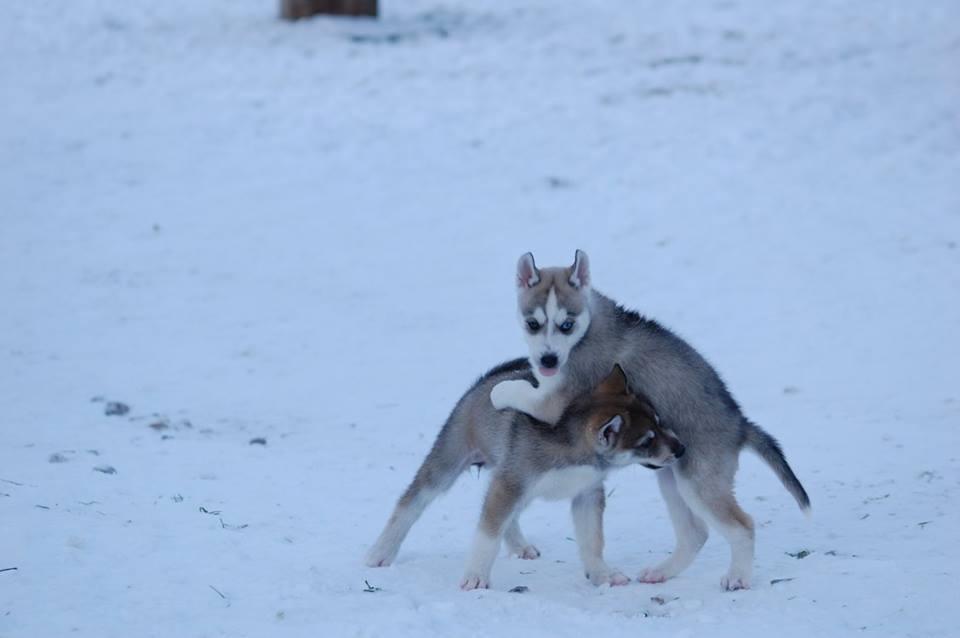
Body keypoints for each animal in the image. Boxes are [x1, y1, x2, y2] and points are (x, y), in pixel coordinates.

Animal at [364, 364, 688, 596]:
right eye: (646, 441)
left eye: (660, 421)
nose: (681, 449)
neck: (572, 450)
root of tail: (487, 379)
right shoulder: (511, 483)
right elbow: (487, 535)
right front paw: (476, 576)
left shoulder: (586, 493)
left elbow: (592, 539)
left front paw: (602, 574)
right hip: (450, 461)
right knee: (411, 502)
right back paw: (381, 551)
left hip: (520, 486)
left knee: (509, 517)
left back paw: (519, 545)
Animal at [488, 252, 808, 592]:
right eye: (533, 324)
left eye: (566, 324)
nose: (548, 360)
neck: (586, 329)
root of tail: (740, 424)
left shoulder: (557, 401)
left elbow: (517, 392)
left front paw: (499, 391)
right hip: (670, 475)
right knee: (696, 533)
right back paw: (662, 572)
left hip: (698, 482)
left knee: (742, 526)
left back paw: (738, 576)